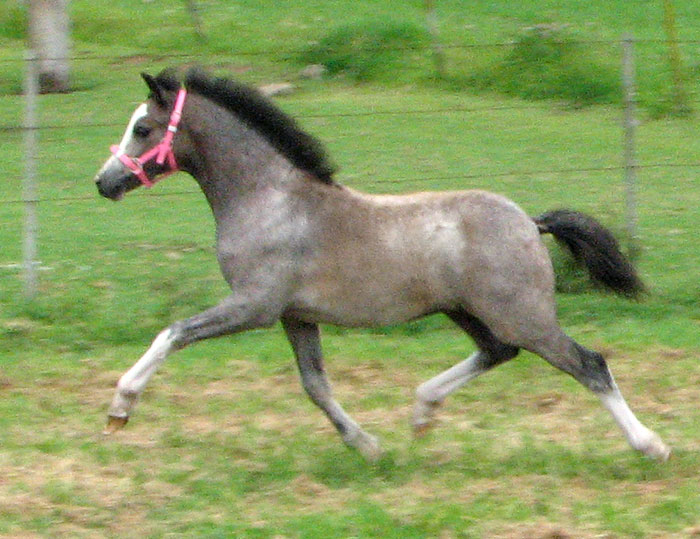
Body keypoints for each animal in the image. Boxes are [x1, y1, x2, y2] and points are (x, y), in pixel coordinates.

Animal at [93, 67, 670, 461]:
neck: (271, 200)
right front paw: (367, 445)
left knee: (589, 365)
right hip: (468, 311)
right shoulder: (295, 316)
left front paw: (120, 408)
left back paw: (651, 446)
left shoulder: (254, 306)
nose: (103, 182)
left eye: (142, 129)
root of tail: (530, 222)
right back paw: (421, 412)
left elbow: (173, 333)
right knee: (497, 352)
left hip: (523, 316)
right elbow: (316, 386)